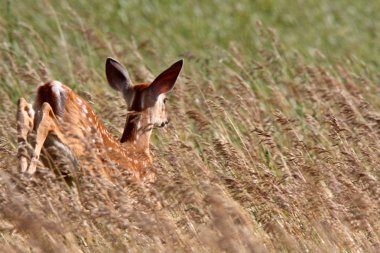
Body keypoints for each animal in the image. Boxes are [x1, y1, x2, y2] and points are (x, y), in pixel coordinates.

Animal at [17, 57, 183, 180]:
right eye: (165, 100)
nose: (167, 120)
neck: (138, 149)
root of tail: (52, 87)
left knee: (24, 107)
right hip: (76, 139)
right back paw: (28, 170)